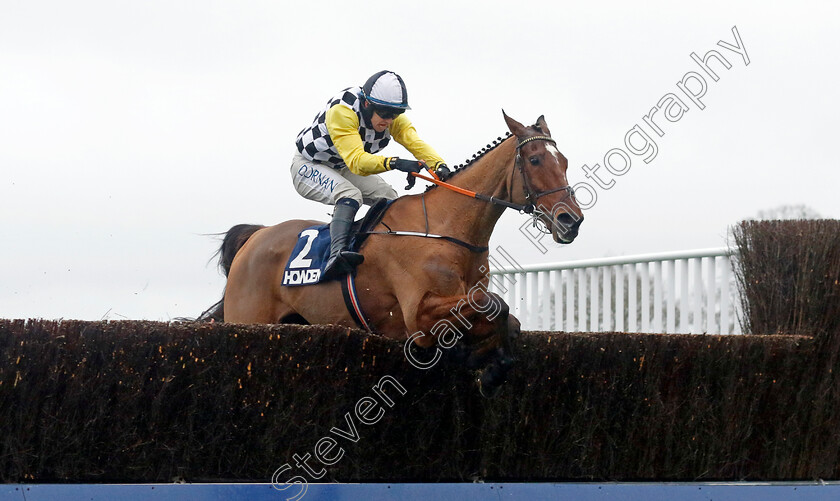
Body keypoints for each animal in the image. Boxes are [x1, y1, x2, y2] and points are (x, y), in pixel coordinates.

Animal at [200, 111, 588, 396]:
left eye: (565, 161)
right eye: (535, 160)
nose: (571, 220)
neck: (447, 227)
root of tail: (255, 236)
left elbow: (509, 318)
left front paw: (491, 361)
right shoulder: (419, 313)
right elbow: (496, 305)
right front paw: (480, 360)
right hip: (248, 318)